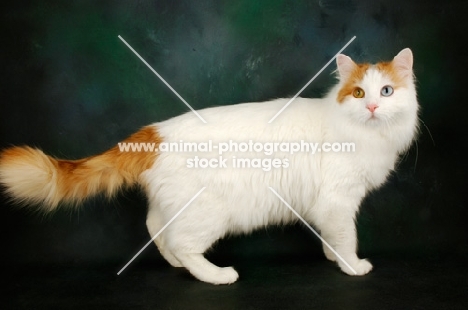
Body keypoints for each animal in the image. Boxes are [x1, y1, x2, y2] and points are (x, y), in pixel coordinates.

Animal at [0, 47, 416, 284]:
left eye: (386, 92)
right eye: (359, 93)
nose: (372, 106)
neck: (363, 132)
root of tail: (155, 132)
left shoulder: (331, 205)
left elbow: (333, 235)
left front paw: (333, 256)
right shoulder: (337, 201)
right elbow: (347, 236)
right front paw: (352, 265)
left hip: (176, 205)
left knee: (157, 229)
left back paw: (176, 265)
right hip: (210, 212)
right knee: (182, 243)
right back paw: (216, 276)